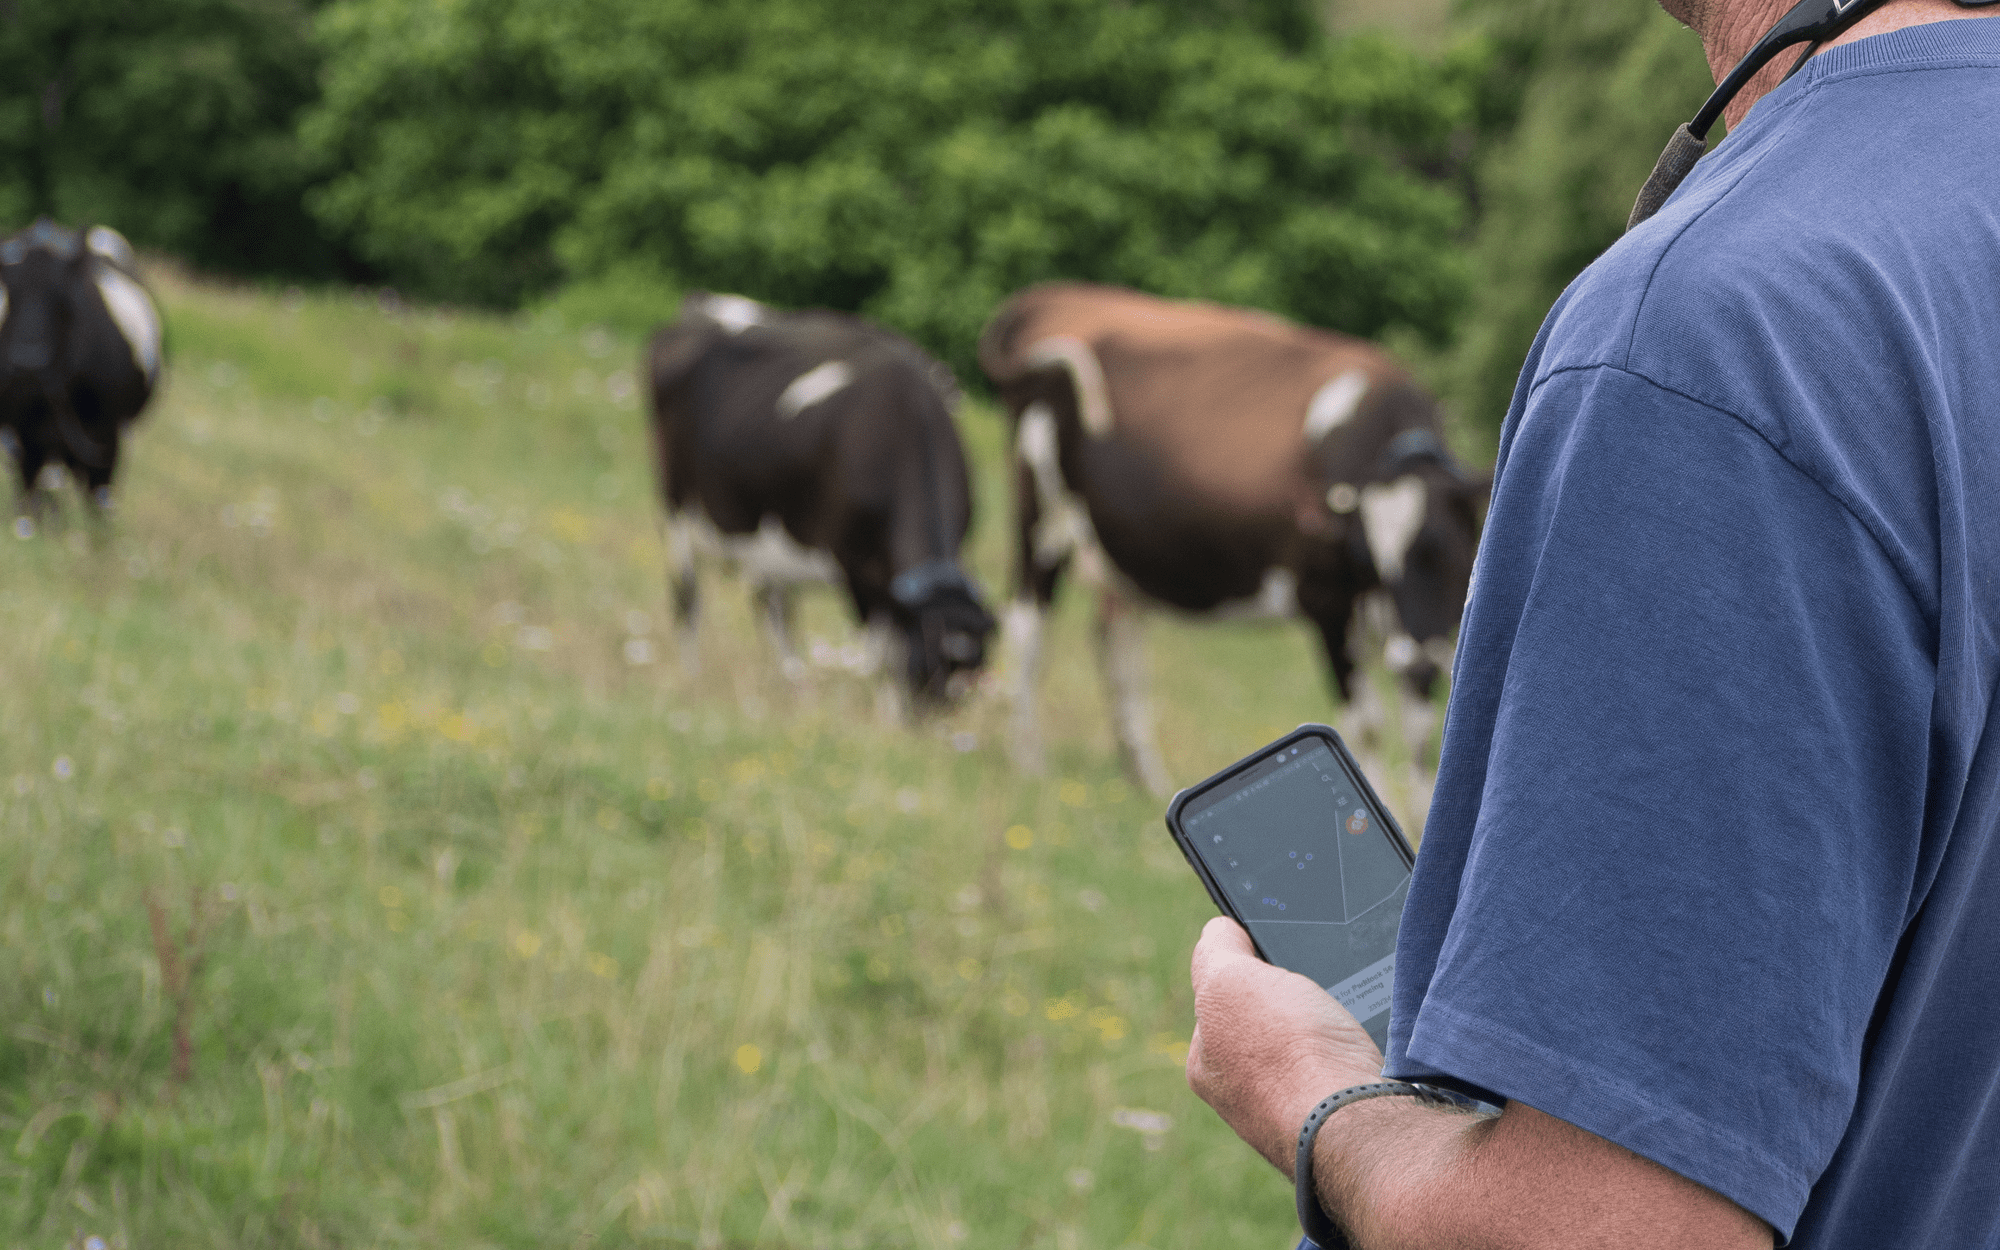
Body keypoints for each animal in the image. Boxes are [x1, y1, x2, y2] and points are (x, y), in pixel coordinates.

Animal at [0, 218, 163, 534]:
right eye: (10, 294)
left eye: (61, 297)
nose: (29, 363)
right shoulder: (23, 438)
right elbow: (29, 498)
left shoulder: (107, 438)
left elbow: (98, 502)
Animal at [647, 292, 995, 709]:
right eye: (922, 665)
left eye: (969, 678)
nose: (926, 718)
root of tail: (701, 305)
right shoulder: (856, 569)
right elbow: (880, 652)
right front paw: (884, 715)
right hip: (676, 511)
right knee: (687, 597)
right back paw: (693, 676)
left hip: (764, 539)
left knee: (773, 608)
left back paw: (792, 682)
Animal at [978, 282, 1485, 797]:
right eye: (1364, 557)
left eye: (1439, 548)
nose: (1410, 659)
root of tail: (1053, 295)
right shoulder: (1325, 600)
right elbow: (1368, 724)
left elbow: (1421, 729)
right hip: (1041, 516)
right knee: (1026, 627)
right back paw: (1030, 763)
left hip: (1121, 562)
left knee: (1120, 652)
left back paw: (1147, 779)